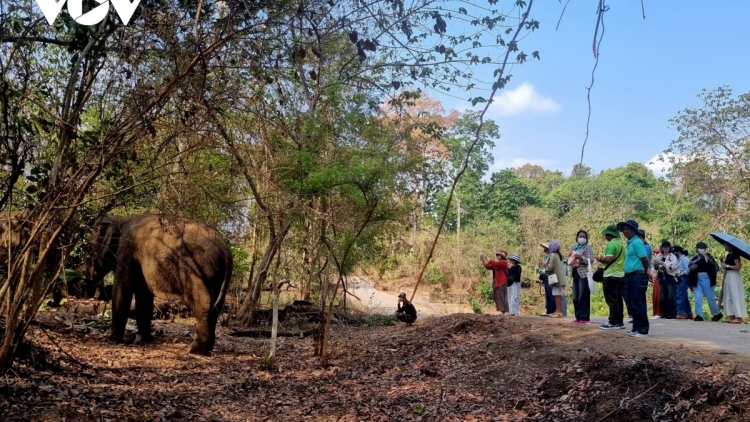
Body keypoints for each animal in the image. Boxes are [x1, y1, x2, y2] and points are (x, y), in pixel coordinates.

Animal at [83, 213, 234, 354]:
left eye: (87, 249)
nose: (85, 273)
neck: (119, 220)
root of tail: (225, 250)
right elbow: (143, 293)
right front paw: (142, 340)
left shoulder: (126, 248)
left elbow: (123, 287)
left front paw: (112, 341)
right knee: (215, 308)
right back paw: (205, 350)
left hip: (201, 271)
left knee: (203, 306)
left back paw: (194, 350)